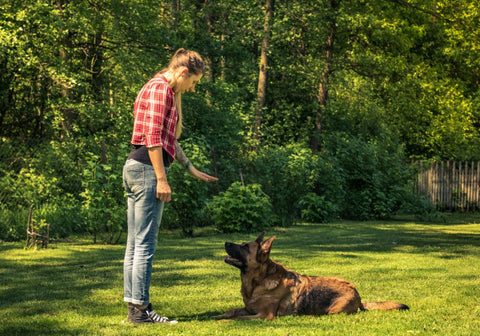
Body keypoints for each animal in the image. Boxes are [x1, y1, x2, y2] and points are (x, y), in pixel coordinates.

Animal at [215, 234, 408, 320]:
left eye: (245, 247)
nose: (225, 242)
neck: (257, 282)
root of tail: (358, 295)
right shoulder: (249, 309)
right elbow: (232, 312)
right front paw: (218, 315)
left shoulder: (264, 315)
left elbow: (237, 317)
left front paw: (224, 320)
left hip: (333, 311)